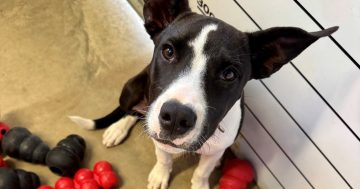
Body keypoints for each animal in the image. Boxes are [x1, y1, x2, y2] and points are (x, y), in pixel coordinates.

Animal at [69, 0, 338, 188]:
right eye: (168, 51)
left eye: (229, 74)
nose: (176, 118)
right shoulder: (159, 135)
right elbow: (164, 158)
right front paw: (160, 174)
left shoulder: (217, 148)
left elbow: (201, 172)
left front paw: (200, 182)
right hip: (132, 89)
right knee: (132, 112)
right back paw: (117, 129)